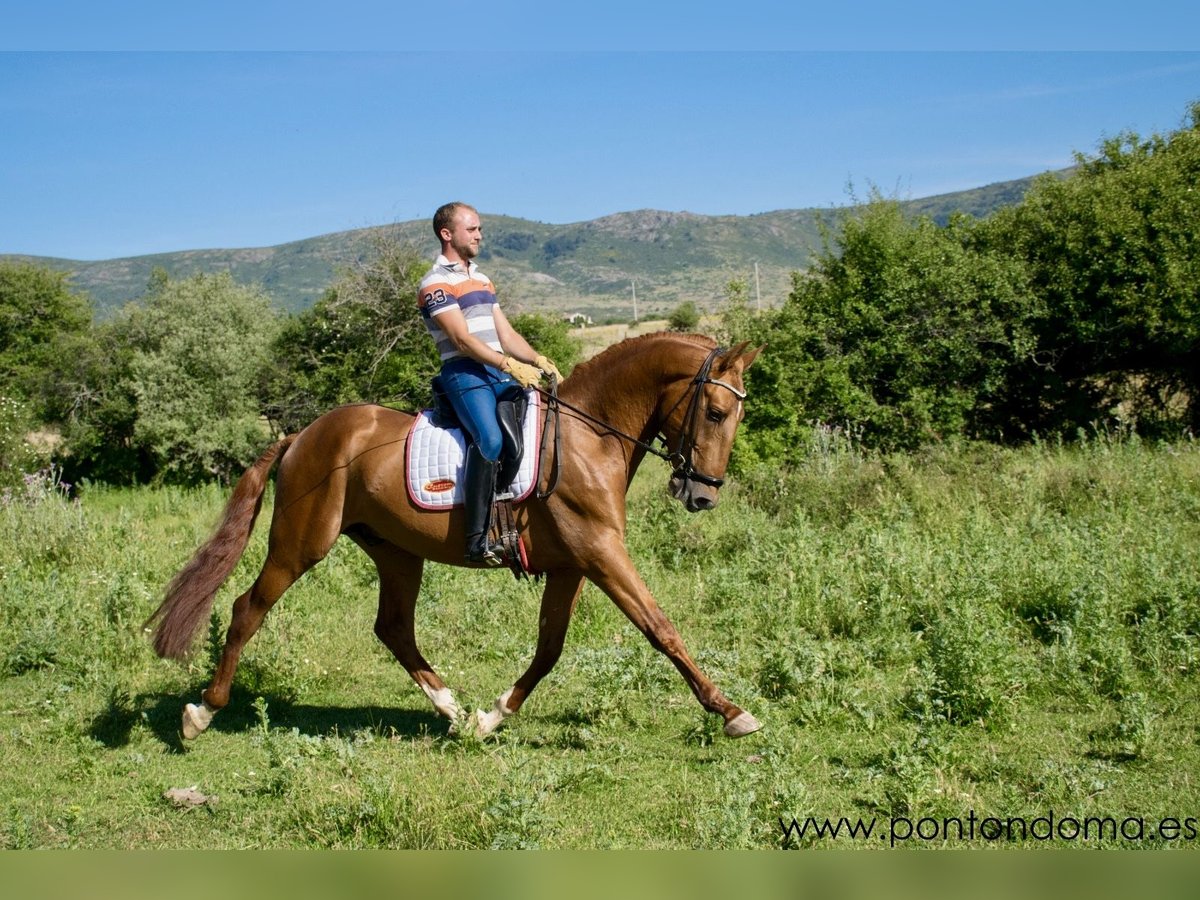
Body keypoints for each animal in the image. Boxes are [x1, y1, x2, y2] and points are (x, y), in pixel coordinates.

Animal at [147, 331, 758, 739]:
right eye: (715, 411)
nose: (703, 496)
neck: (588, 437)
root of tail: (301, 435)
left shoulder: (572, 565)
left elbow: (550, 647)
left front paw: (491, 718)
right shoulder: (601, 553)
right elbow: (660, 628)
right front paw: (731, 712)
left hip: (396, 552)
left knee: (393, 628)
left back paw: (453, 710)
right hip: (300, 544)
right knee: (247, 610)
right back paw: (201, 713)